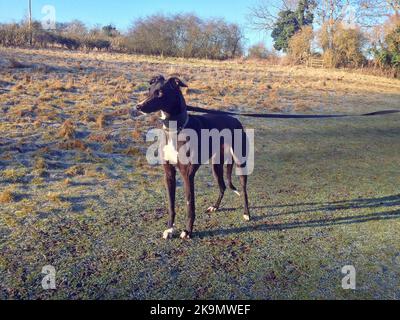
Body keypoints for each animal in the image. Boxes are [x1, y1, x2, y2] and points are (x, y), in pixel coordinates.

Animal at [138, 76, 250, 239]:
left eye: (160, 93)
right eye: (149, 90)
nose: (138, 106)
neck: (175, 129)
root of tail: (236, 120)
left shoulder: (187, 175)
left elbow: (190, 204)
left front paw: (187, 231)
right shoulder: (169, 174)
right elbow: (171, 205)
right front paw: (170, 229)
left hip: (240, 163)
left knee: (244, 189)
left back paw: (247, 213)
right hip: (216, 166)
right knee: (222, 186)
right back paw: (215, 207)